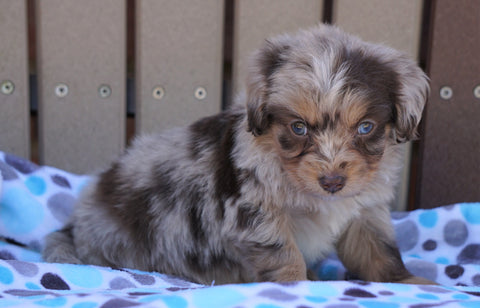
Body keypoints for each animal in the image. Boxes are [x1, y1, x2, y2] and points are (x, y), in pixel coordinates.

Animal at [42, 25, 432, 286]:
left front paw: (410, 283)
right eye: (298, 127)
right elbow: (284, 255)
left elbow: (379, 252)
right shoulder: (255, 213)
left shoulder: (365, 210)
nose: (333, 182)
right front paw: (298, 288)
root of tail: (76, 225)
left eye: (365, 127)